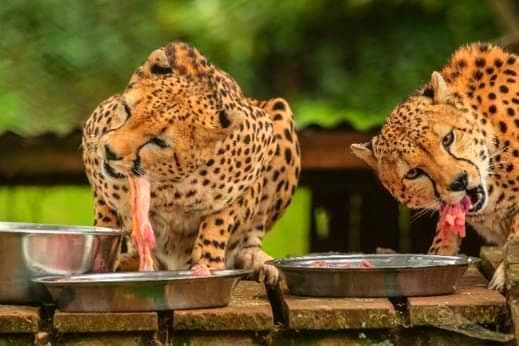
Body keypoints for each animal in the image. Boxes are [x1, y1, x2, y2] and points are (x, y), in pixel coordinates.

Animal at [80, 41, 300, 284]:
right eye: (127, 111)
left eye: (159, 141)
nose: (109, 152)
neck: (166, 182)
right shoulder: (93, 150)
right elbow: (105, 217)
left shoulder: (260, 149)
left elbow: (220, 219)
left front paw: (209, 261)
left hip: (281, 111)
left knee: (251, 237)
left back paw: (256, 260)